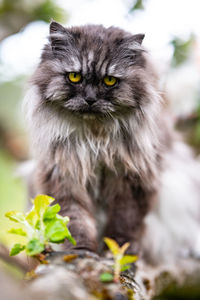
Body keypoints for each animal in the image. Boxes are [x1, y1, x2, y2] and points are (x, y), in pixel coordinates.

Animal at [23, 21, 200, 264]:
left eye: (109, 81)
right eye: (74, 77)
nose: (90, 99)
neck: (95, 138)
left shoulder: (132, 178)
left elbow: (124, 222)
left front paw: (119, 253)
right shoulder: (64, 174)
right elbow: (75, 221)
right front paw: (82, 252)